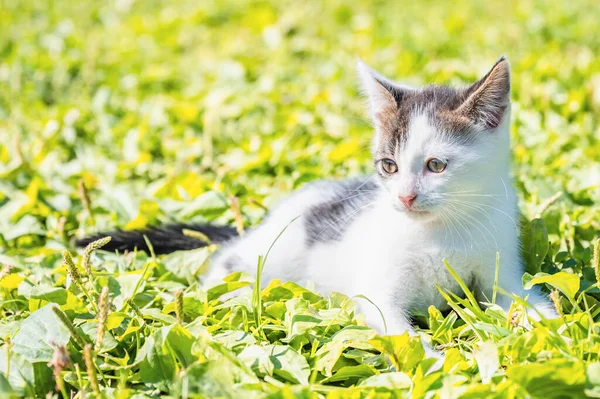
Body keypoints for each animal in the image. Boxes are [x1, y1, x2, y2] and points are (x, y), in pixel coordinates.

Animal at [77, 56, 556, 356]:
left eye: (436, 165)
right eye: (389, 165)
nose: (404, 196)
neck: (442, 228)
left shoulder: (501, 275)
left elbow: (536, 305)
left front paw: (551, 337)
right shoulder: (375, 292)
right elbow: (402, 334)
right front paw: (437, 362)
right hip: (268, 256)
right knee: (228, 264)